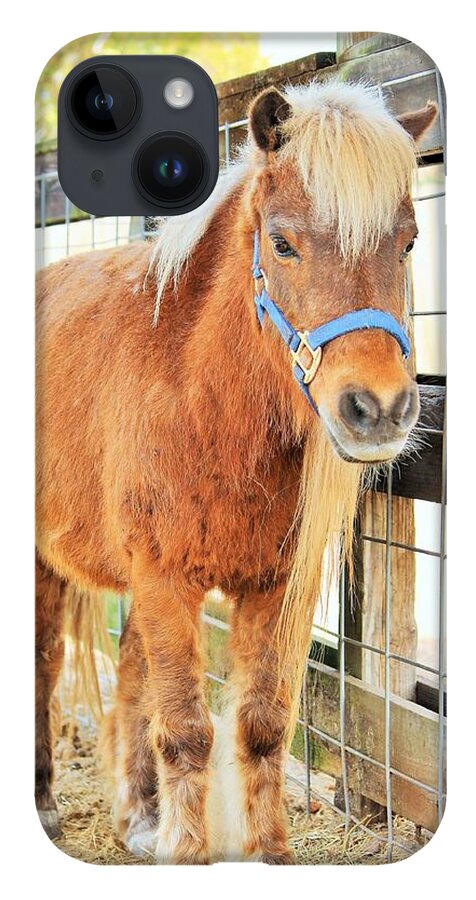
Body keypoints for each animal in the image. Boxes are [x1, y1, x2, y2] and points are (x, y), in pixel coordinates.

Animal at [36, 79, 437, 863]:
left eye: (407, 242)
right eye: (281, 243)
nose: (378, 409)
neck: (203, 400)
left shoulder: (274, 587)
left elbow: (261, 725)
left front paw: (267, 852)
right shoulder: (165, 578)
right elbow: (189, 732)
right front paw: (190, 853)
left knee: (131, 676)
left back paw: (140, 818)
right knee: (43, 667)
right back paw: (43, 802)